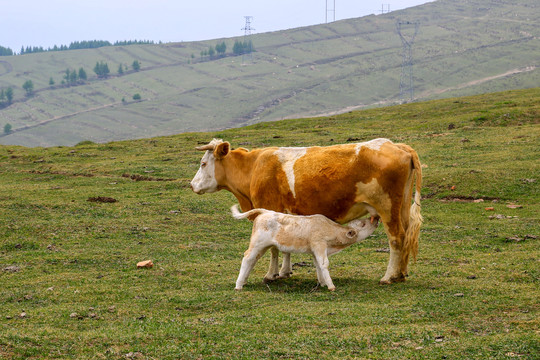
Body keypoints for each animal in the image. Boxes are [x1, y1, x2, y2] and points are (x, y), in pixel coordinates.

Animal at [233, 205, 380, 290]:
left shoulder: (315, 250)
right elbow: (324, 263)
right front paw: (331, 286)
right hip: (258, 244)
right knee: (247, 258)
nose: (376, 219)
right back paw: (238, 285)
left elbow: (318, 264)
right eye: (362, 224)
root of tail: (265, 212)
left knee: (253, 260)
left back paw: (244, 281)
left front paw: (322, 283)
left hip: (263, 246)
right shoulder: (319, 244)